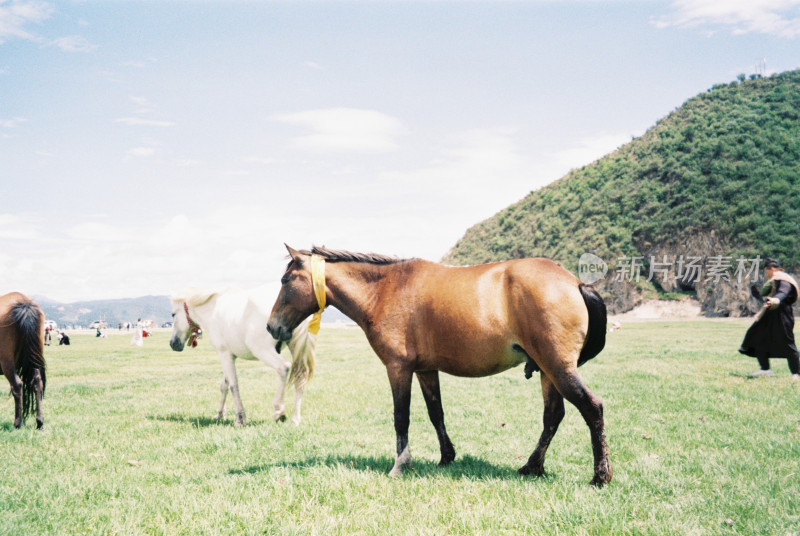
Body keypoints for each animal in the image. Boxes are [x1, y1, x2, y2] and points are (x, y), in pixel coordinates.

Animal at [0, 292, 46, 430]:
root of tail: (23, 302)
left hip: (7, 362)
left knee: (17, 385)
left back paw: (18, 423)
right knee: (37, 383)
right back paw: (40, 422)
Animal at [169, 286, 316, 426]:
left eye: (173, 314)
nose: (173, 344)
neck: (212, 311)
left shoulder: (224, 354)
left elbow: (233, 386)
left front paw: (240, 419)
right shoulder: (230, 356)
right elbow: (224, 385)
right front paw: (220, 415)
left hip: (263, 351)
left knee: (283, 367)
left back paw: (279, 411)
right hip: (297, 350)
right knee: (300, 377)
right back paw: (295, 419)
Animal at [266, 247, 608, 486]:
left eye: (285, 280)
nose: (272, 327)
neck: (385, 289)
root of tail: (576, 283)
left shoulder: (398, 368)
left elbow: (401, 417)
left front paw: (401, 464)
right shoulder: (425, 370)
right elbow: (436, 413)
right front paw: (446, 457)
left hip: (557, 367)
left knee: (592, 408)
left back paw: (600, 476)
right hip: (548, 371)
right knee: (553, 416)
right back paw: (532, 467)